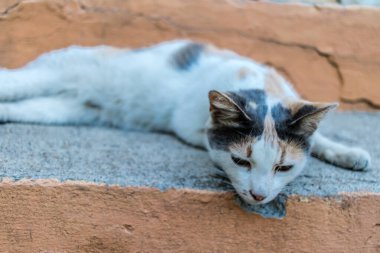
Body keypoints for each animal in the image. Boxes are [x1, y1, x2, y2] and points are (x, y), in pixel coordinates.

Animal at [0, 40, 370, 206]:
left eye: (284, 168)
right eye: (241, 161)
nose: (258, 195)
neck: (262, 85)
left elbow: (319, 140)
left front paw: (349, 153)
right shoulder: (188, 126)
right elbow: (203, 137)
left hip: (68, 109)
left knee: (29, 107)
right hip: (55, 74)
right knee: (13, 81)